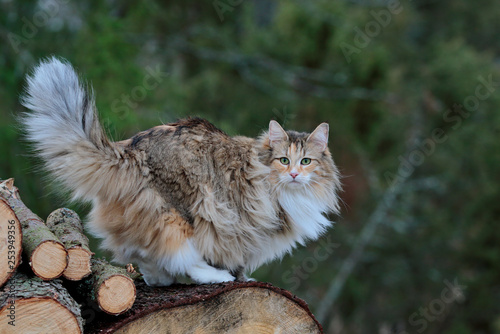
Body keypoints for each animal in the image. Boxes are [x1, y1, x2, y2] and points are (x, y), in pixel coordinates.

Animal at [18, 56, 340, 284]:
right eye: (284, 160)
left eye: (306, 161)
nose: (294, 174)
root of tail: (131, 148)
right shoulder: (248, 226)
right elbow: (238, 258)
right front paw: (239, 276)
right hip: (182, 211)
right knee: (178, 254)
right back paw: (212, 276)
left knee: (143, 252)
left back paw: (159, 279)